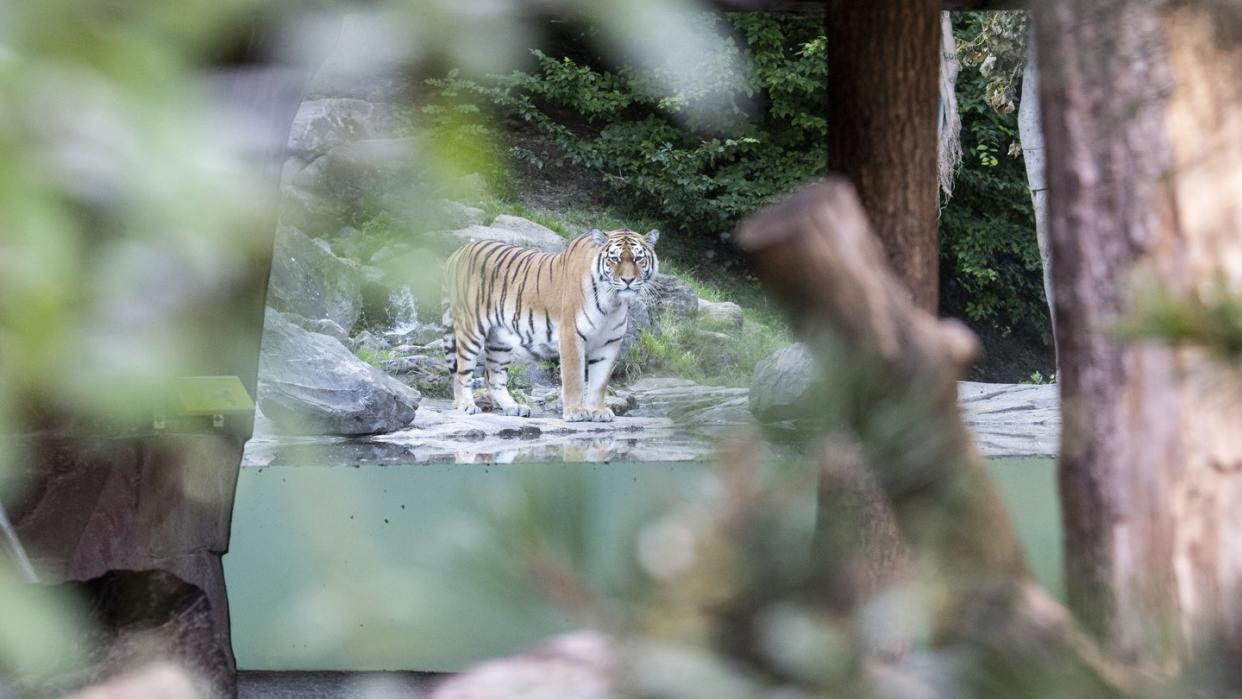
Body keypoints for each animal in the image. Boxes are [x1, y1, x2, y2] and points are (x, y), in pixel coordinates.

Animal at [444, 227, 660, 422]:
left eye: (638, 259)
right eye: (614, 259)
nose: (628, 280)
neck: (613, 302)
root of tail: (458, 252)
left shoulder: (609, 343)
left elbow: (599, 383)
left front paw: (598, 411)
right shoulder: (571, 335)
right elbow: (575, 378)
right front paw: (575, 412)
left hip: (500, 340)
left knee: (492, 377)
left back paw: (514, 408)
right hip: (470, 329)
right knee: (461, 372)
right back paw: (466, 405)